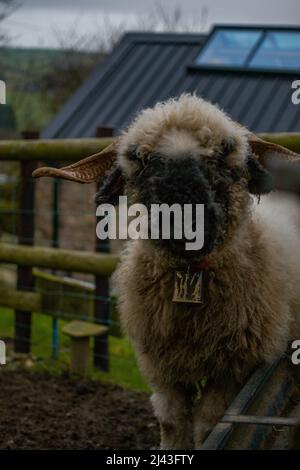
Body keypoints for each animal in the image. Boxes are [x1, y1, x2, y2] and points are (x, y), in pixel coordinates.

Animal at [33, 94, 300, 448]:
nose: (185, 223)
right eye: (139, 157)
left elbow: (207, 424)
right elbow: (171, 422)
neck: (188, 278)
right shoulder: (159, 365)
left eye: (225, 152)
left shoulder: (235, 368)